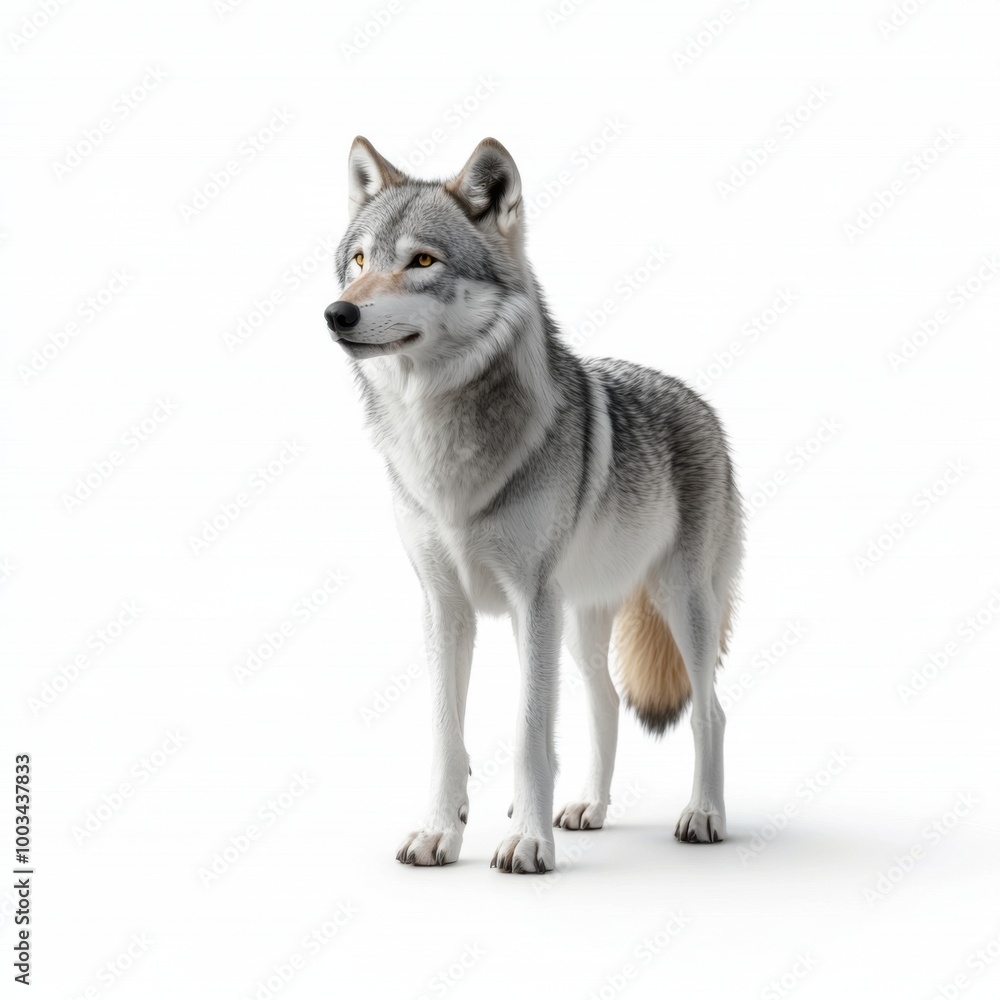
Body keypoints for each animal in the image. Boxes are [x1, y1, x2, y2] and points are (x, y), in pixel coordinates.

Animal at [324, 136, 744, 874]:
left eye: (422, 261)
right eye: (360, 261)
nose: (337, 313)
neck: (441, 445)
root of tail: (698, 400)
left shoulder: (531, 599)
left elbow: (527, 734)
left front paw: (526, 843)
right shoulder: (445, 606)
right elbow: (446, 735)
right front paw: (440, 832)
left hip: (677, 604)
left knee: (709, 711)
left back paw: (703, 816)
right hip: (579, 621)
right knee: (606, 703)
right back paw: (588, 809)